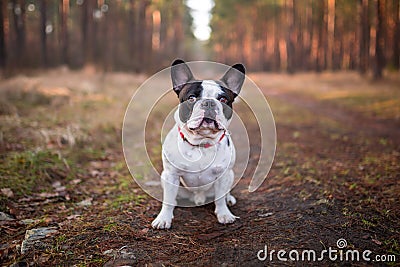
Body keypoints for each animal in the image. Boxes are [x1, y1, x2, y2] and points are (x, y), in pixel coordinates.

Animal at [152, 59, 245, 229]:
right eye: (191, 98)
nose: (208, 103)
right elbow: (168, 200)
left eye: (223, 100)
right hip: (165, 178)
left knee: (224, 193)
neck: (202, 142)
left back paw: (229, 199)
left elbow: (220, 198)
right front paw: (163, 218)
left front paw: (224, 214)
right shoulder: (171, 175)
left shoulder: (223, 175)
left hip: (230, 175)